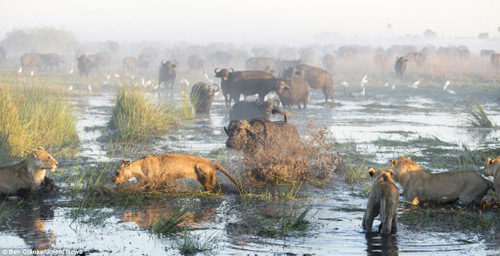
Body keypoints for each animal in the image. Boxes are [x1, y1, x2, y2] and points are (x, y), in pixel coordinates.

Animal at [112, 152, 240, 192]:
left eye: (117, 172)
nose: (112, 180)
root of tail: (212, 163)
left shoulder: (151, 179)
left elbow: (140, 186)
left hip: (202, 171)